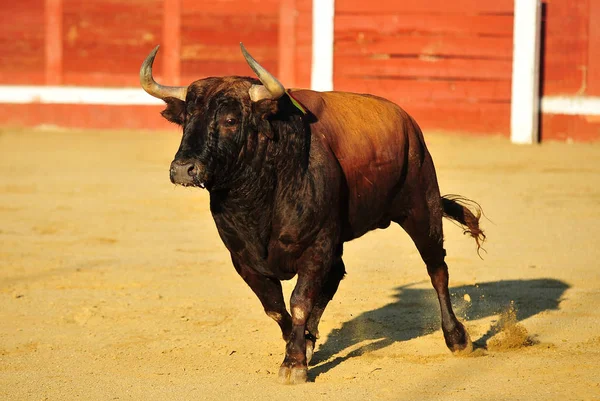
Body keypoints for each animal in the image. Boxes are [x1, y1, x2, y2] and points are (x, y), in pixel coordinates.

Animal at [138, 42, 486, 382]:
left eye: (230, 120)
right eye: (187, 119)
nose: (183, 169)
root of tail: (407, 122)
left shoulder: (316, 245)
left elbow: (299, 302)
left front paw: (294, 363)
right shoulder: (243, 258)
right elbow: (275, 306)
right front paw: (302, 345)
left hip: (421, 208)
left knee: (436, 269)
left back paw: (458, 339)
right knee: (335, 277)